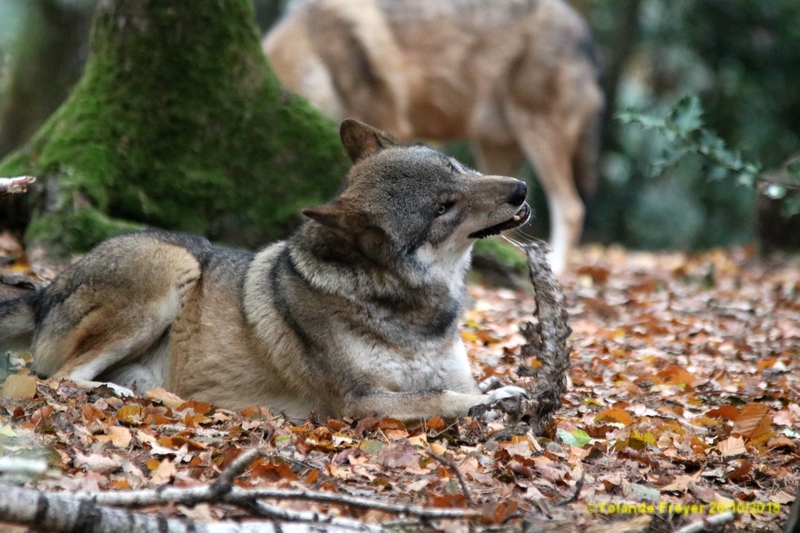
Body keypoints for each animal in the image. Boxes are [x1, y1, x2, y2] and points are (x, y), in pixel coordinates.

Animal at [3, 119, 536, 420]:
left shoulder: (453, 374)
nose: (522, 189)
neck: (415, 312)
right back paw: (139, 395)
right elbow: (445, 399)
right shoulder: (361, 401)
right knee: (61, 379)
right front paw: (501, 402)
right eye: (443, 208)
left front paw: (513, 389)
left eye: (455, 168)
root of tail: (46, 289)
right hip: (172, 268)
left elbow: (470, 387)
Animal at [266, 0, 604, 274]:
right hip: (494, 148)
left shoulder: (393, 122)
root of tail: (584, 31)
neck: (313, 55)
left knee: (572, 208)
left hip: (537, 134)